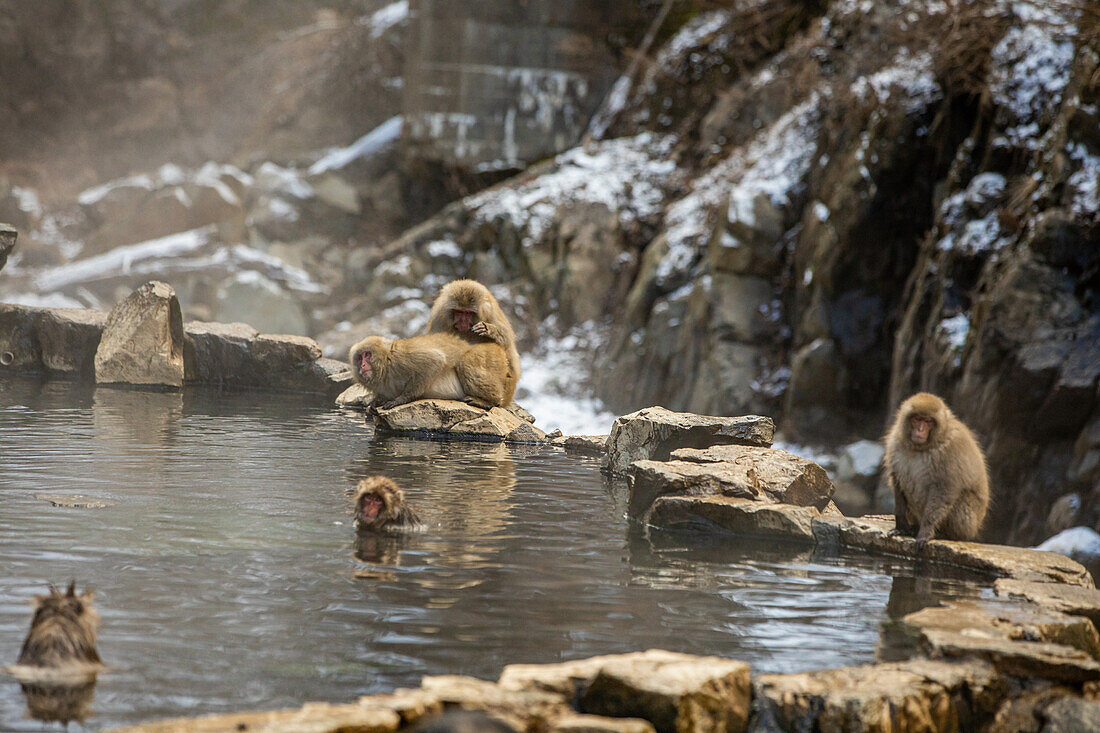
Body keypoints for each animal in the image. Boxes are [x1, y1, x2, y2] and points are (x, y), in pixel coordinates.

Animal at [349, 330, 512, 411]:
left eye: (367, 355)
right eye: (359, 358)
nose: (363, 365)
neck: (385, 365)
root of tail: (499, 349)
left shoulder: (400, 358)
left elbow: (434, 360)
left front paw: (402, 399)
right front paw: (376, 402)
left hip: (490, 356)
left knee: (466, 362)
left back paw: (487, 401)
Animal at [880, 394, 994, 541]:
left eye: (928, 421)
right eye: (917, 419)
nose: (920, 430)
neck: (920, 448)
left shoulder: (951, 450)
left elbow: (944, 489)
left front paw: (926, 531)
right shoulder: (895, 442)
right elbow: (897, 481)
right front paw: (901, 526)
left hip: (969, 523)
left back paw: (945, 534)